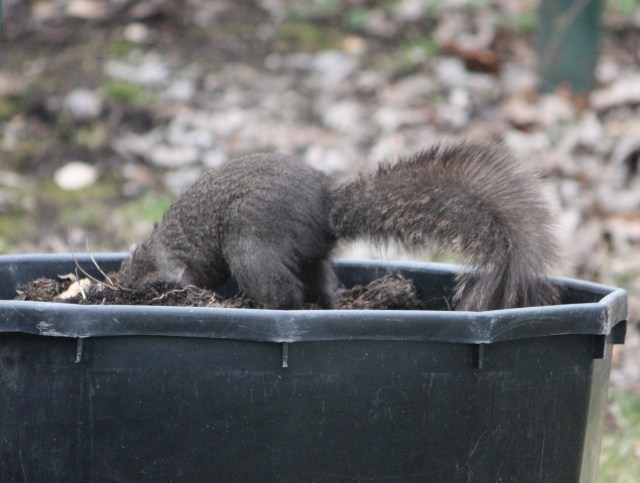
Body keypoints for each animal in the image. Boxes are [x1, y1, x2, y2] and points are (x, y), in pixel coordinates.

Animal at [120, 140, 559, 311]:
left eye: (147, 287)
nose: (119, 291)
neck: (163, 245)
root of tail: (325, 207)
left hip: (251, 242)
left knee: (283, 294)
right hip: (310, 256)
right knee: (320, 285)